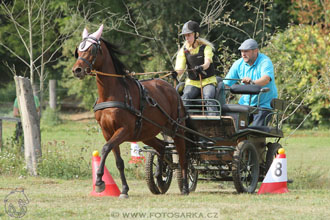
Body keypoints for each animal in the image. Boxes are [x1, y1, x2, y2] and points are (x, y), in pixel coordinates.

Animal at [71, 24, 188, 198]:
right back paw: (160, 175)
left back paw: (186, 185)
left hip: (176, 128)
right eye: (78, 50)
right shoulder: (107, 132)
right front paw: (124, 189)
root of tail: (172, 88)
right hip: (147, 133)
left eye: (92, 49)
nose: (77, 70)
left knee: (182, 154)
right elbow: (118, 161)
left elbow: (105, 149)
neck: (111, 93)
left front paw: (99, 182)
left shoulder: (124, 130)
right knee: (161, 148)